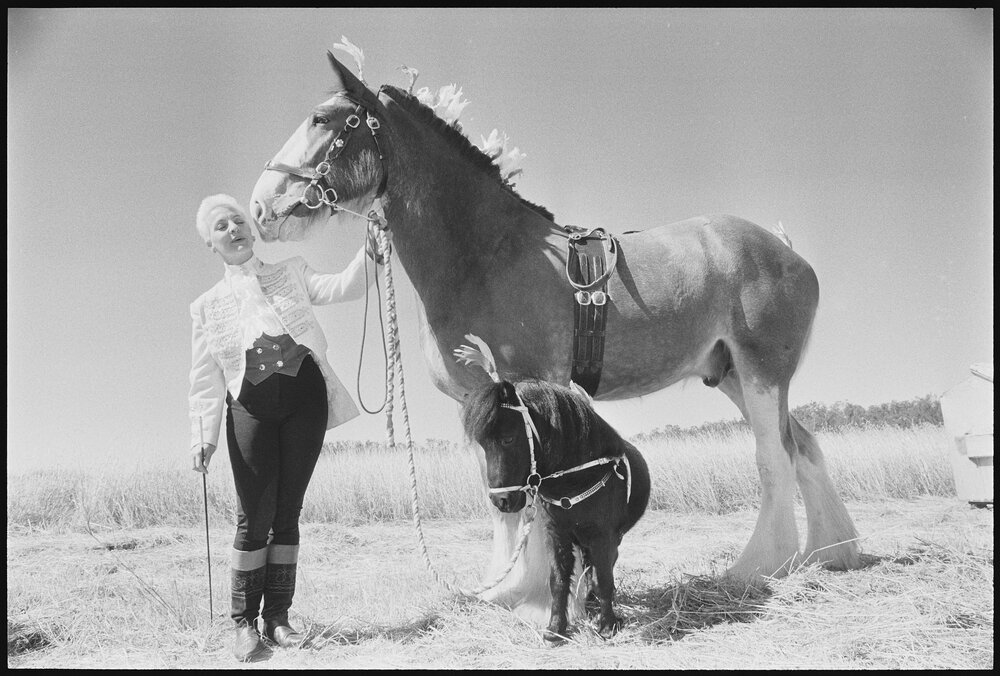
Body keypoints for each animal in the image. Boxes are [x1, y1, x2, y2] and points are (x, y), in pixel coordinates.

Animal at [460, 371, 651, 643]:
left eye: (508, 438)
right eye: (482, 445)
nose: (501, 500)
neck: (576, 478)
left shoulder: (603, 535)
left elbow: (603, 578)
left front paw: (607, 625)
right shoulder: (557, 533)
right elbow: (558, 580)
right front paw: (555, 628)